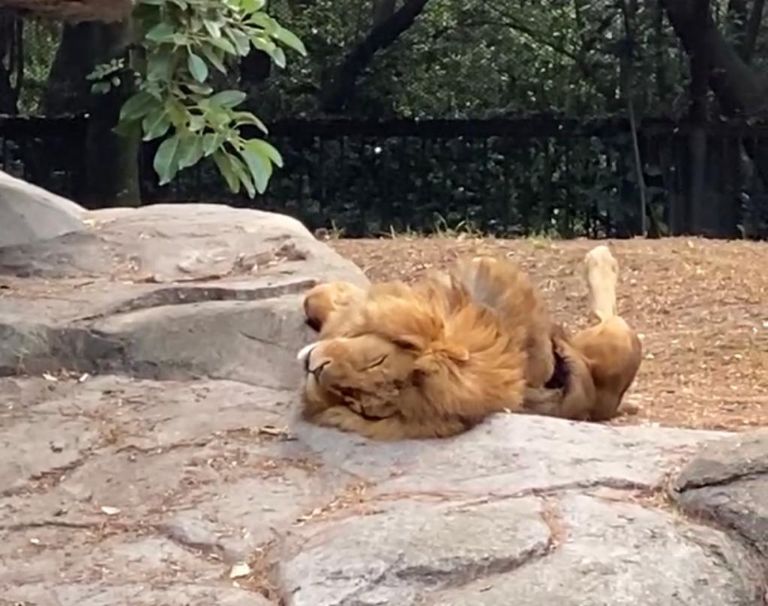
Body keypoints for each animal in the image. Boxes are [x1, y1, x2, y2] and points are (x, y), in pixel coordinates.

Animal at [297, 244, 642, 440]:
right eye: (354, 398)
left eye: (360, 404)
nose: (315, 369)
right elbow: (316, 298)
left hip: (619, 340)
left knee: (609, 315)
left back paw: (600, 258)